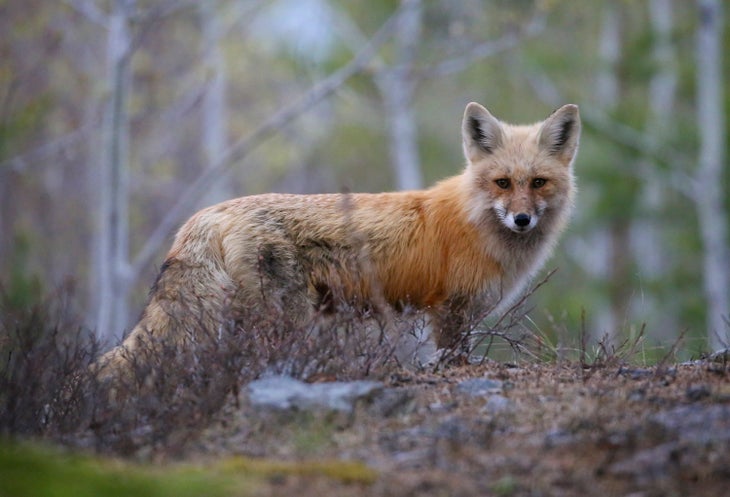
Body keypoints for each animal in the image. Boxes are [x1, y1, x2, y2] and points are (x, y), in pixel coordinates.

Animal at [96, 102, 576, 374]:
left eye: (537, 183)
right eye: (502, 183)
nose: (521, 220)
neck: (474, 220)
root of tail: (209, 212)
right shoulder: (450, 309)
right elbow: (454, 358)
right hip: (285, 317)